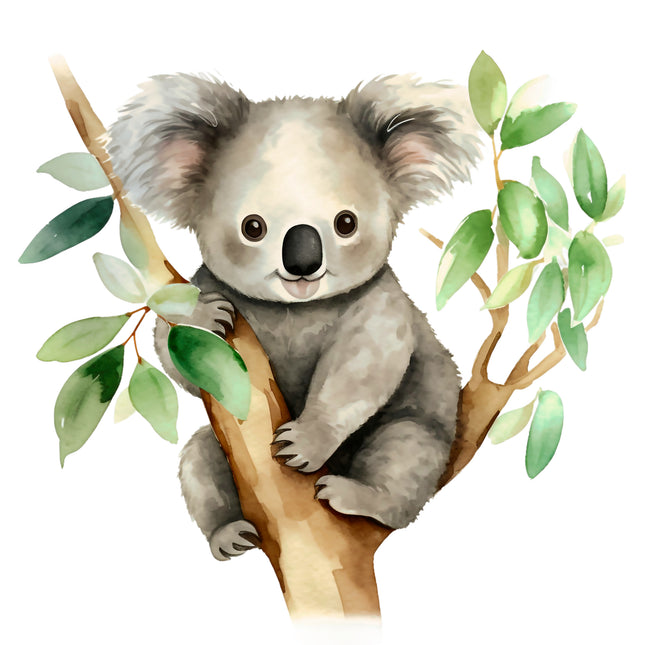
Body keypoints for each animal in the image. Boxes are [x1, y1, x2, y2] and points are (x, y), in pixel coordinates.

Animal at [107, 72, 480, 560]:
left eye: (346, 223)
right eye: (252, 227)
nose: (303, 261)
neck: (294, 310)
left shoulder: (379, 302)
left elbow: (361, 369)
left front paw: (303, 443)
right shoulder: (205, 284)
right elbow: (181, 364)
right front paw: (204, 318)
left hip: (415, 433)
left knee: (404, 455)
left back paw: (356, 497)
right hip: (219, 457)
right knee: (199, 460)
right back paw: (230, 534)